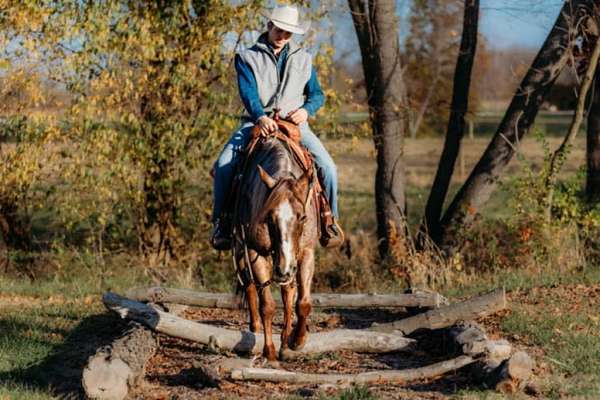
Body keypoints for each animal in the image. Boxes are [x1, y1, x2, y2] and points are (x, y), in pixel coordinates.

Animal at [232, 128, 322, 366]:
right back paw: (255, 329)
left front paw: (296, 340)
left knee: (288, 291)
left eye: (302, 217)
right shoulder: (256, 252)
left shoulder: (305, 252)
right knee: (250, 286)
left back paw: (285, 338)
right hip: (244, 251)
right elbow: (267, 305)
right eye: (269, 218)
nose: (284, 270)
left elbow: (303, 302)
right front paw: (270, 352)